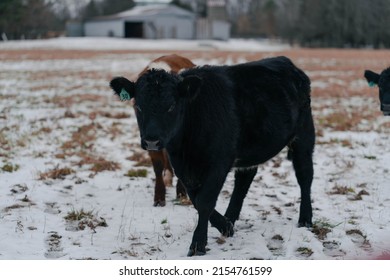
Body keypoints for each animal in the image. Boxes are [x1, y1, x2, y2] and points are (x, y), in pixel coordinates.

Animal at [109, 56, 314, 256]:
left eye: (171, 106)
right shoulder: (182, 165)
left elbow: (205, 201)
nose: (152, 141)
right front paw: (225, 226)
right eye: (138, 106)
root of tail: (287, 63)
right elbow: (195, 199)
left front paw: (198, 244)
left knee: (304, 175)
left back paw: (305, 219)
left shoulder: (219, 162)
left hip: (303, 136)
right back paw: (230, 217)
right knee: (244, 181)